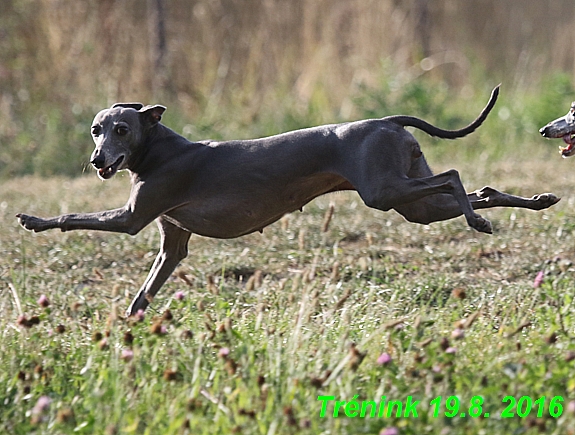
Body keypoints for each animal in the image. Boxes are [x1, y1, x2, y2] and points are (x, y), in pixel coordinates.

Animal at [16, 86, 560, 316]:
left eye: (122, 129)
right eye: (95, 128)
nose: (97, 160)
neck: (160, 149)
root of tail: (388, 120)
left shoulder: (132, 217)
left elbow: (71, 215)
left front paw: (32, 219)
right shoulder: (173, 244)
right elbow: (144, 293)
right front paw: (128, 328)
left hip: (384, 193)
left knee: (454, 176)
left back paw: (479, 222)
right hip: (412, 204)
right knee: (479, 190)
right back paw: (539, 199)